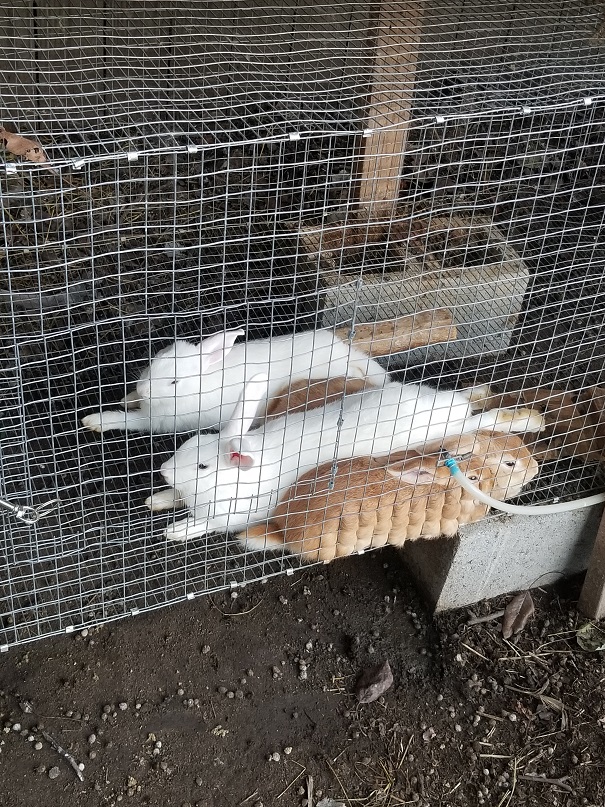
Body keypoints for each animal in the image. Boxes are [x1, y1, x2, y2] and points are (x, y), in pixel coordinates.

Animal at [80, 328, 386, 436]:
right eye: (155, 360)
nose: (144, 389)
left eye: (175, 382)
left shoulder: (159, 421)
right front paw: (127, 397)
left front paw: (96, 420)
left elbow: (130, 420)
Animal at [155, 374, 544, 540]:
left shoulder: (235, 514)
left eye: (203, 465)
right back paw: (489, 395)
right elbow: (174, 498)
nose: (163, 469)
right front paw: (155, 499)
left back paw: (531, 420)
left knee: (485, 421)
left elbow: (207, 524)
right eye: (190, 445)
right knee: (473, 404)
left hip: (443, 433)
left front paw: (176, 531)